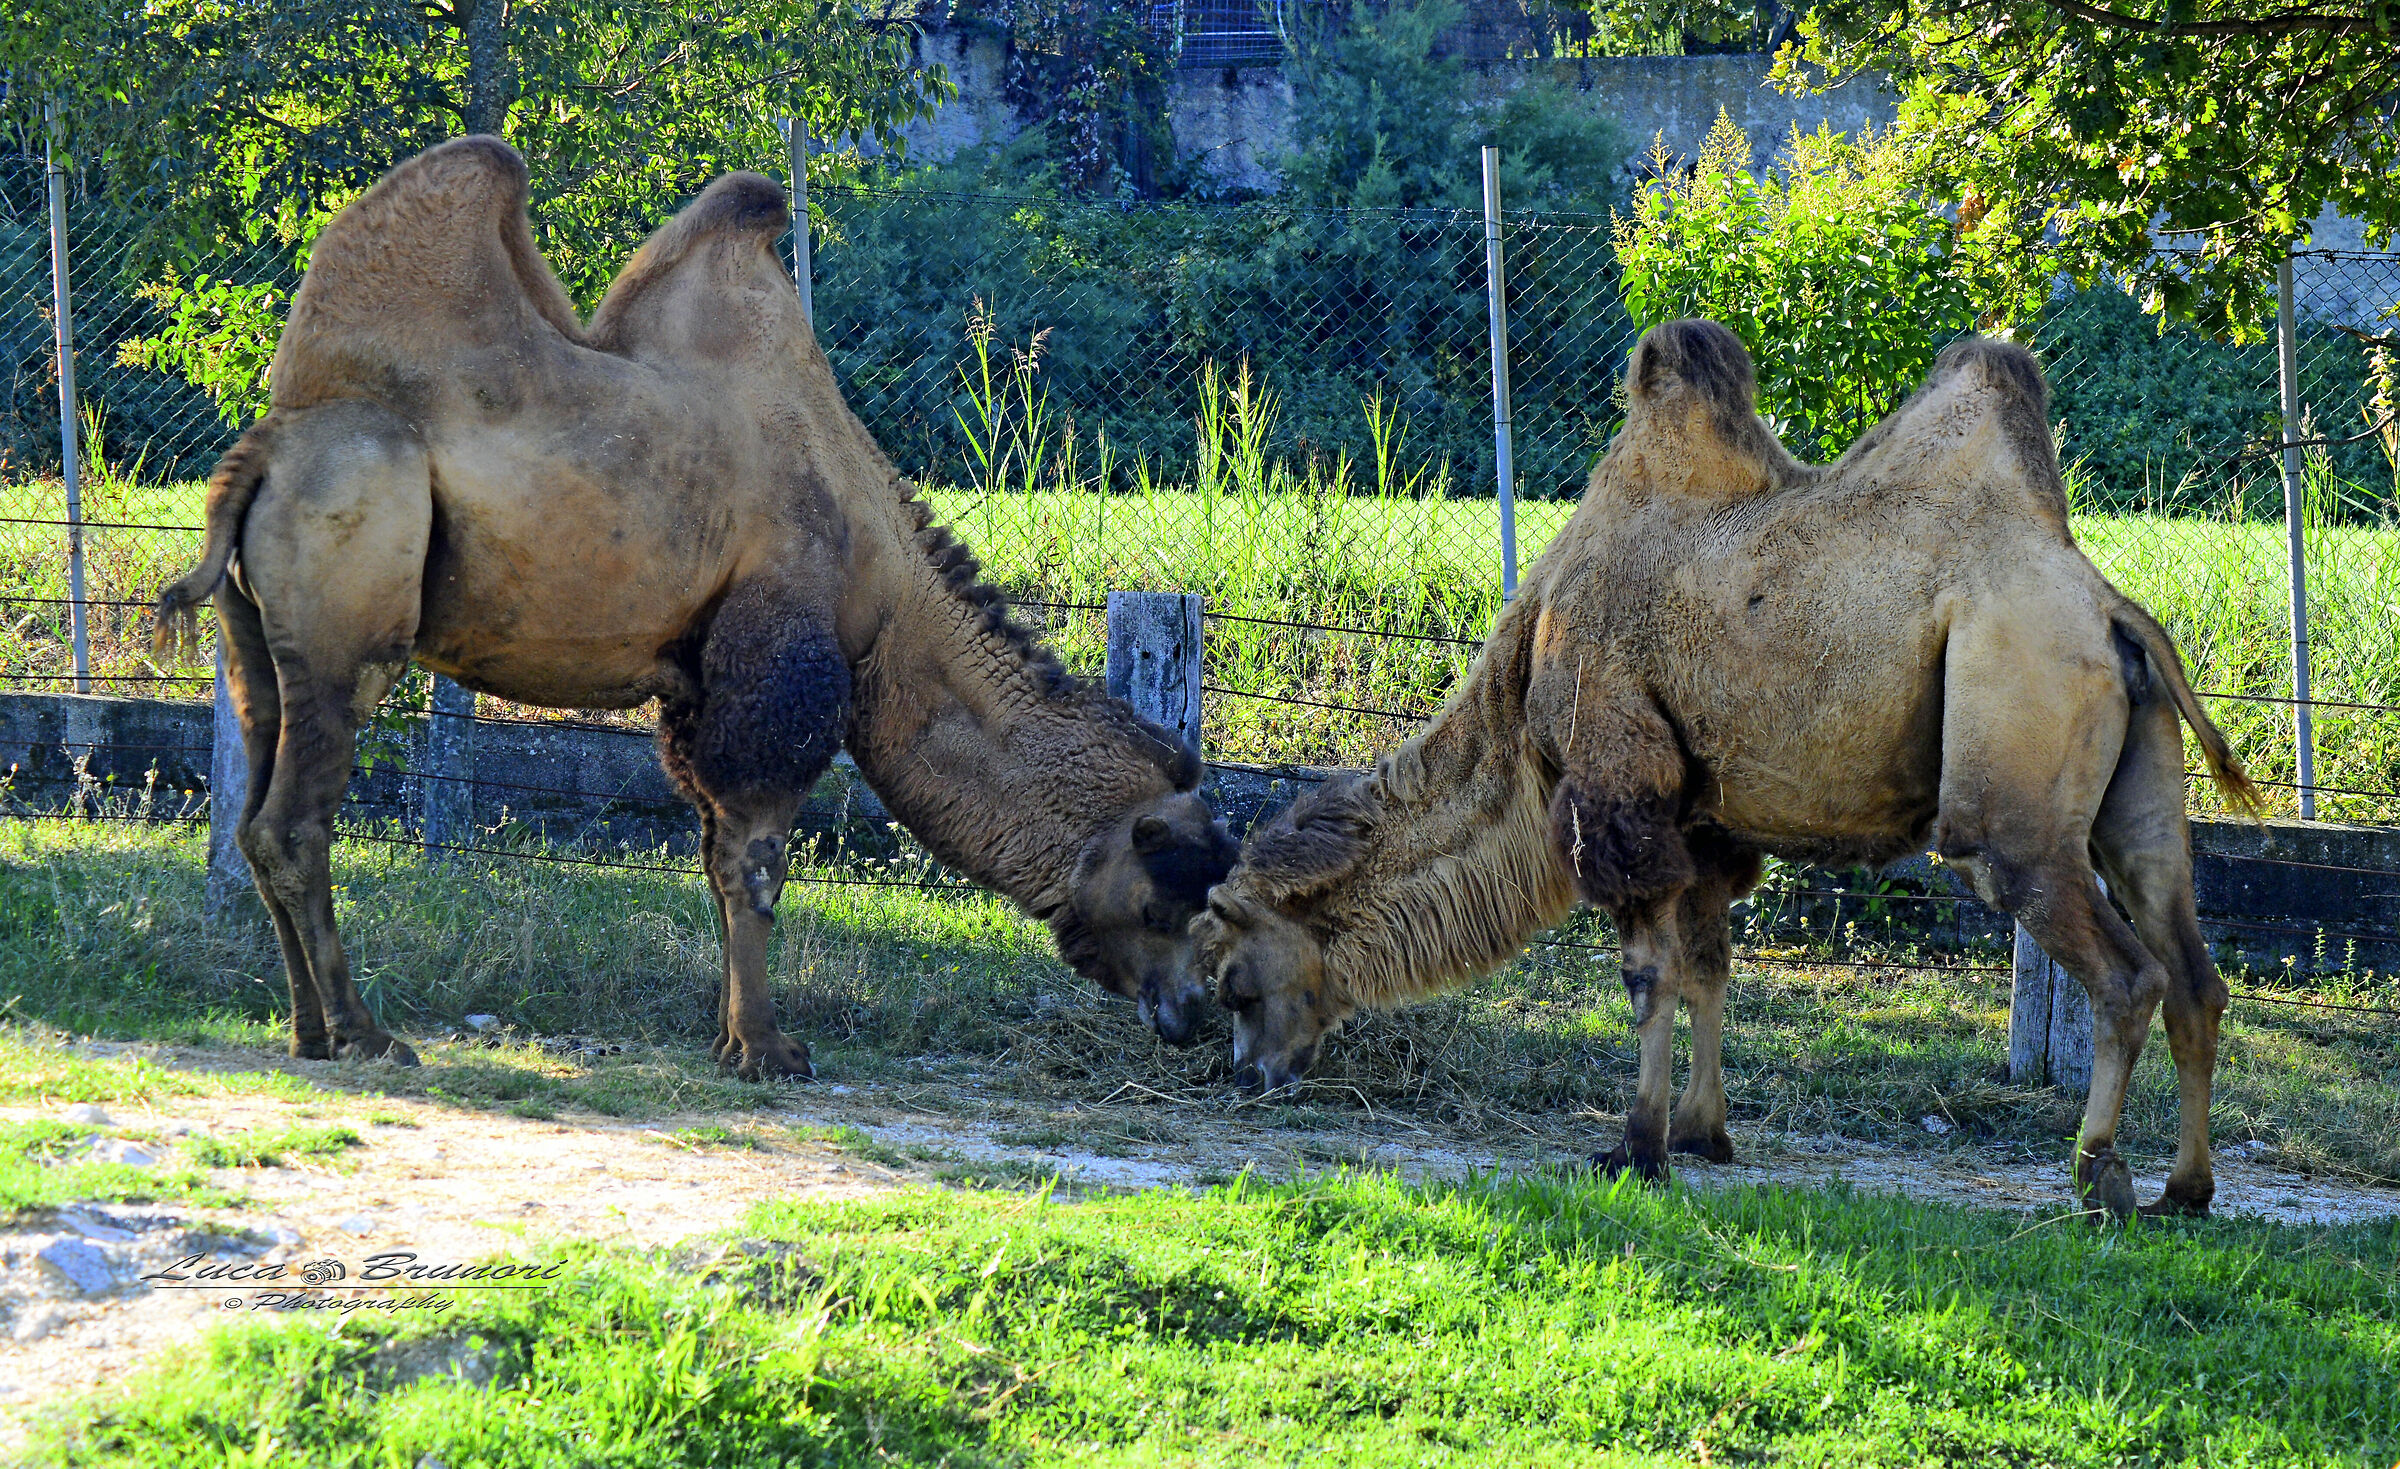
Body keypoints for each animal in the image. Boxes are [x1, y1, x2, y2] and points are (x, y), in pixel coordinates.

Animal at [152, 137, 1237, 1079]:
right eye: (1165, 900)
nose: (1193, 1015)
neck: (889, 593)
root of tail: (263, 452)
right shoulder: (781, 661)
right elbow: (758, 865)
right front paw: (769, 1050)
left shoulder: (698, 681)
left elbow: (717, 862)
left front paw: (729, 1038)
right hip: (350, 607)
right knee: (296, 822)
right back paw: (367, 1033)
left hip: (256, 644)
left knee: (252, 812)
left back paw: (307, 1030)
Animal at [1190, 320, 2264, 1218]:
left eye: (1234, 981)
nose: (1243, 1076)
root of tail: (2116, 613)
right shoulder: (1703, 821)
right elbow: (1710, 965)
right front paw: (1705, 1133)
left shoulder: (1617, 785)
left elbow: (1645, 975)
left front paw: (1635, 1146)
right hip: (2139, 796)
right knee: (2193, 972)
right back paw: (2187, 1189)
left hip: (2014, 781)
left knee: (2123, 970)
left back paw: (2100, 1175)